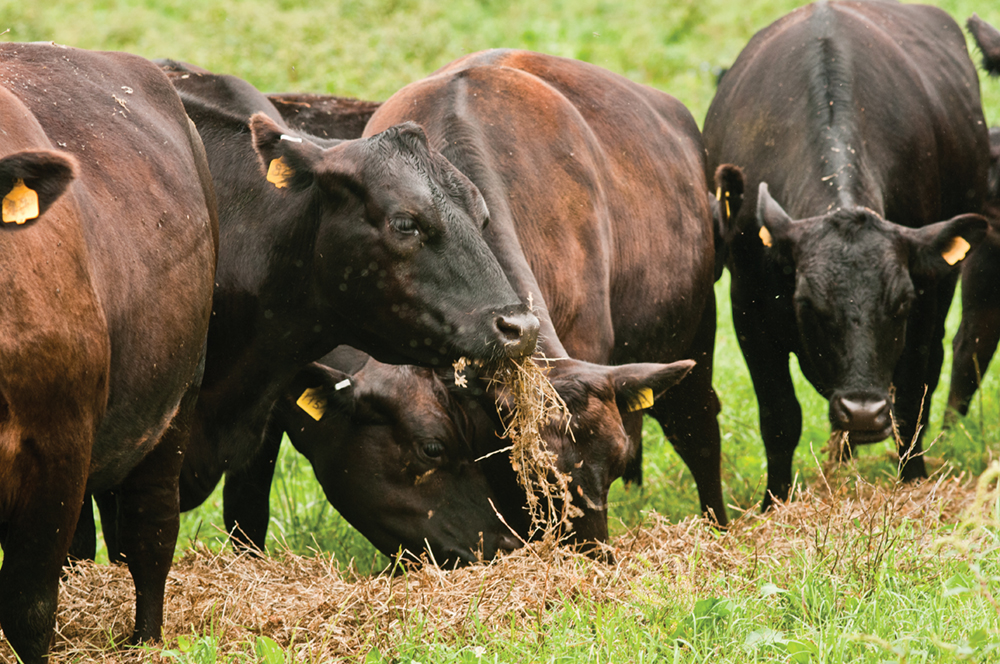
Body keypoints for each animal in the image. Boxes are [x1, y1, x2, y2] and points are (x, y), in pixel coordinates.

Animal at [704, 0, 992, 508]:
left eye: (901, 303)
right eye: (807, 304)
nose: (862, 411)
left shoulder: (926, 303)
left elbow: (912, 396)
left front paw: (912, 481)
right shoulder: (748, 310)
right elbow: (779, 415)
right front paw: (773, 501)